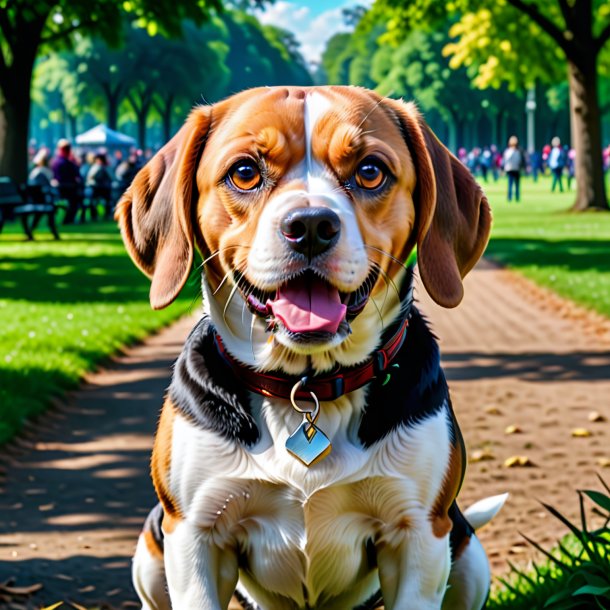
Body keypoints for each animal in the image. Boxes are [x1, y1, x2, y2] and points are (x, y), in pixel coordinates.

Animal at [116, 85, 506, 608]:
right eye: (245, 172)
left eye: (370, 170)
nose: (311, 225)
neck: (307, 386)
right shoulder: (195, 534)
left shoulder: (419, 536)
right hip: (153, 544)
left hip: (466, 553)